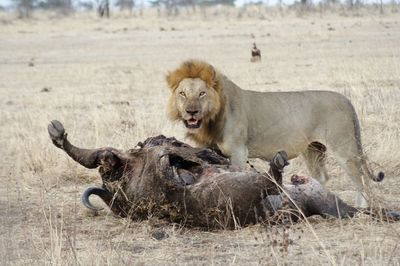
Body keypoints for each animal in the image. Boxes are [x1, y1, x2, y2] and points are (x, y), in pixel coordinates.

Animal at [166, 59, 384, 207]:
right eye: (182, 94)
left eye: (202, 93)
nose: (191, 112)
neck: (212, 118)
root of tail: (346, 100)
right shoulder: (213, 150)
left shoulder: (238, 151)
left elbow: (233, 177)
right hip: (313, 149)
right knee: (322, 176)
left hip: (343, 147)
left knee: (361, 178)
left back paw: (362, 207)